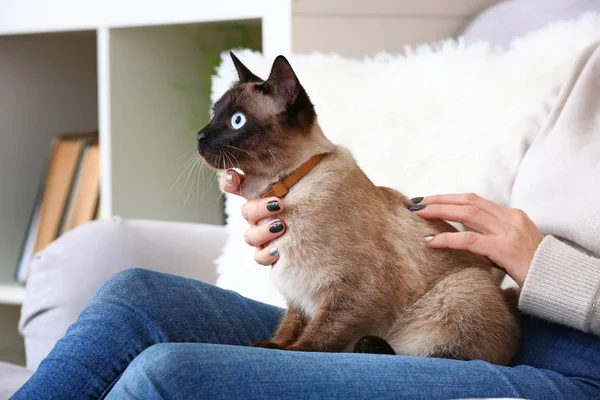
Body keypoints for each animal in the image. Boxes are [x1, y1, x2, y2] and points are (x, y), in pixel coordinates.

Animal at [197, 52, 520, 366]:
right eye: (214, 115)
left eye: (237, 121)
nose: (199, 137)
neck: (286, 188)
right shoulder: (298, 295)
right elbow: (289, 327)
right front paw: (273, 344)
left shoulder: (354, 291)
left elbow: (317, 338)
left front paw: (288, 352)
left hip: (461, 288)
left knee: (447, 356)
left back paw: (371, 346)